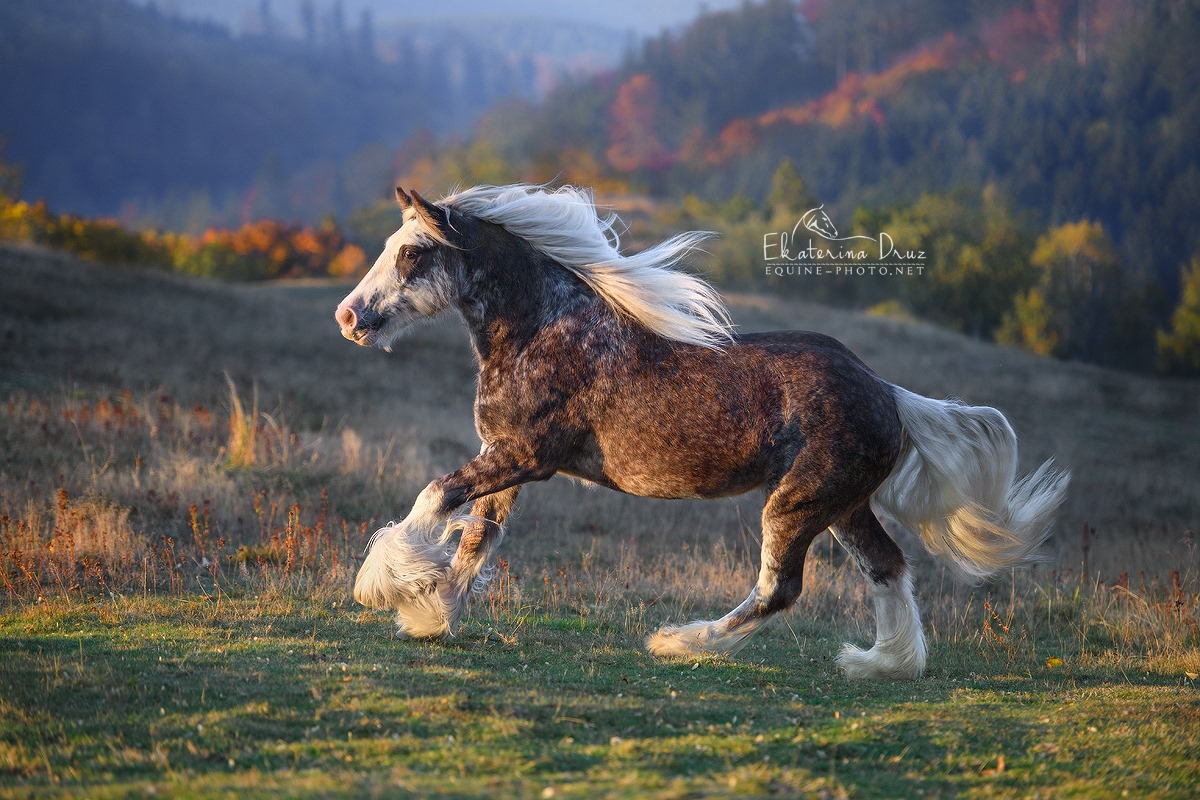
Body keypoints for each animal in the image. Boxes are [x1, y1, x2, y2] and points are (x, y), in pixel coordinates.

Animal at [331, 184, 1070, 681]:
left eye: (413, 251)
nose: (349, 316)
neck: (546, 329)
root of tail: (887, 392)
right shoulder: (506, 462)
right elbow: (476, 537)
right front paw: (432, 614)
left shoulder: (524, 456)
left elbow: (434, 497)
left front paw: (385, 584)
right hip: (842, 505)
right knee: (887, 567)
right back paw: (880, 664)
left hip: (795, 504)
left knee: (780, 589)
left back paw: (681, 643)